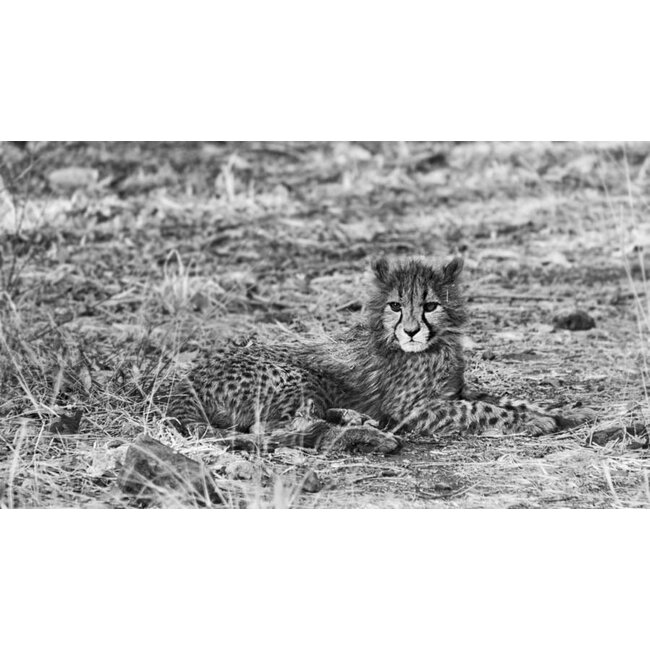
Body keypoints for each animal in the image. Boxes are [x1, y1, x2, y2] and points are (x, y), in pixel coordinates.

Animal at [157, 256, 593, 440]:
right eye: (395, 306)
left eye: (430, 305)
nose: (412, 331)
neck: (437, 344)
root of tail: (193, 374)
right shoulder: (415, 408)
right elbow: (480, 409)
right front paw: (534, 421)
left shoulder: (453, 390)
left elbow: (497, 397)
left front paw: (557, 411)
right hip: (296, 376)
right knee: (274, 426)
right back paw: (355, 423)